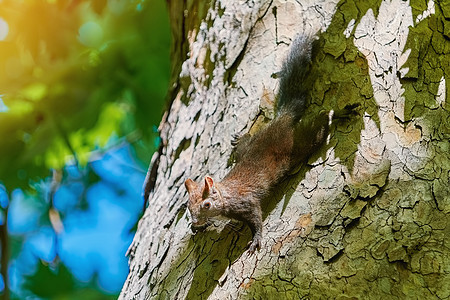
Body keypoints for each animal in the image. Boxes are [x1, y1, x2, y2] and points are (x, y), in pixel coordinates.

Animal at [185, 34, 356, 253]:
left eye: (206, 205)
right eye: (188, 207)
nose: (195, 221)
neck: (225, 195)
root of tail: (282, 119)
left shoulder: (246, 203)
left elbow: (256, 219)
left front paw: (256, 239)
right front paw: (198, 228)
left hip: (300, 142)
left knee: (320, 125)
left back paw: (336, 114)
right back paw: (240, 139)